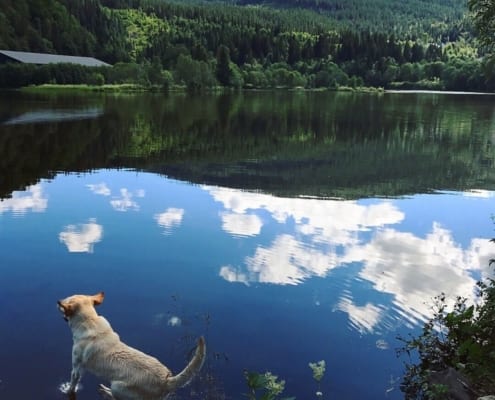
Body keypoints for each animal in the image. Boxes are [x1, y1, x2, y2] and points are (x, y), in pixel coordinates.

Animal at [57, 292, 206, 398]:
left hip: (118, 387)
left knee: (115, 395)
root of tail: (166, 380)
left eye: (64, 304)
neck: (89, 320)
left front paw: (68, 391)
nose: (58, 302)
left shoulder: (76, 367)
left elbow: (73, 383)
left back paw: (106, 391)